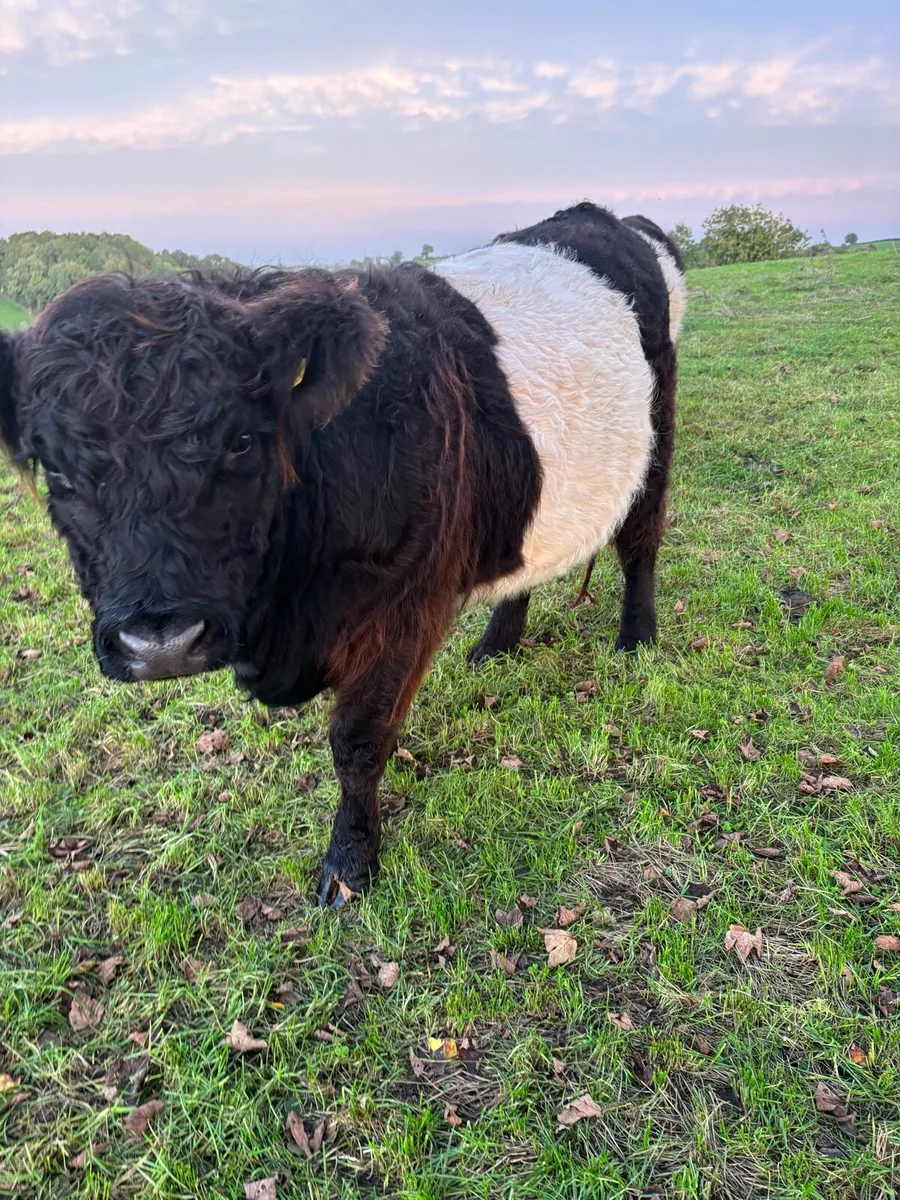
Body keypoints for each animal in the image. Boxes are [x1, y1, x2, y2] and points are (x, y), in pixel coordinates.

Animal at [0, 202, 685, 906]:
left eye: (242, 441)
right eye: (57, 473)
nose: (160, 642)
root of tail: (603, 218)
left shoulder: (405, 608)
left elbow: (357, 741)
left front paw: (350, 864)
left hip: (655, 439)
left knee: (641, 541)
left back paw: (636, 638)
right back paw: (497, 643)